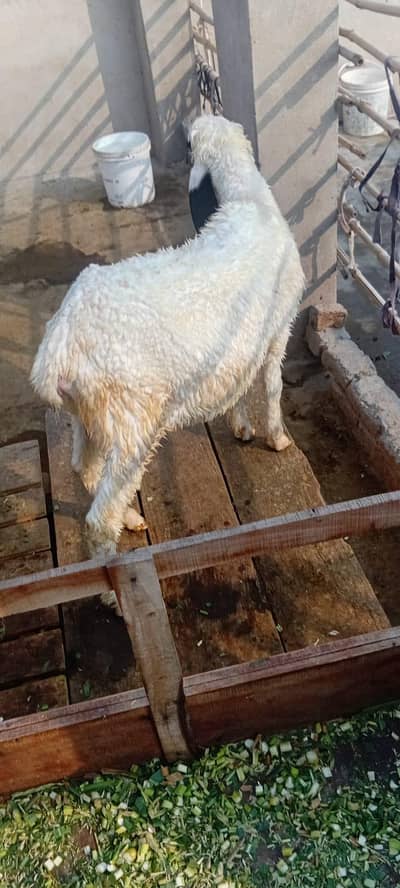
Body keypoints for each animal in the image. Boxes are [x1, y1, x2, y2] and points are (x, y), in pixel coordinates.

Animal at [31, 114, 304, 567]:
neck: (249, 200)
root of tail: (58, 346)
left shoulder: (239, 346)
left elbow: (238, 388)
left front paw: (242, 426)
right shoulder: (277, 328)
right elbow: (271, 387)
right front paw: (278, 438)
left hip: (91, 416)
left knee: (83, 469)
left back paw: (128, 517)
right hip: (131, 421)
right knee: (97, 520)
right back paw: (118, 571)